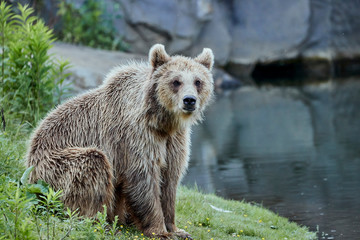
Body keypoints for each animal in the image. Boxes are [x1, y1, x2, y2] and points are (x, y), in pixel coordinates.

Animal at [27, 44, 214, 239]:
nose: (189, 100)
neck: (162, 121)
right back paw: (102, 222)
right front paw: (160, 230)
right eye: (176, 81)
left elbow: (169, 181)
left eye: (198, 81)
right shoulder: (136, 136)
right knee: (92, 166)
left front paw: (176, 229)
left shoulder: (174, 141)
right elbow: (143, 178)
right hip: (53, 167)